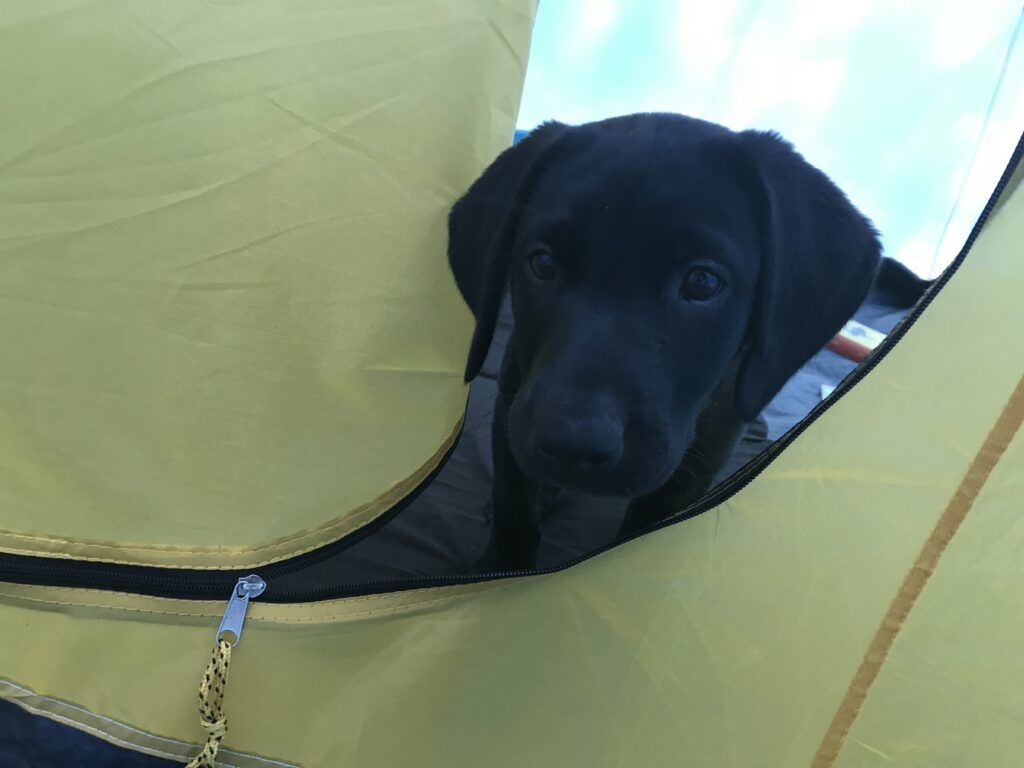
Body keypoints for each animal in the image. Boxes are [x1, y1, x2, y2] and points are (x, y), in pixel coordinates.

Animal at [448, 113, 881, 571]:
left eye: (702, 282)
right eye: (543, 263)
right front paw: (499, 568)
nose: (573, 443)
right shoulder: (513, 394)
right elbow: (514, 503)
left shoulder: (702, 455)